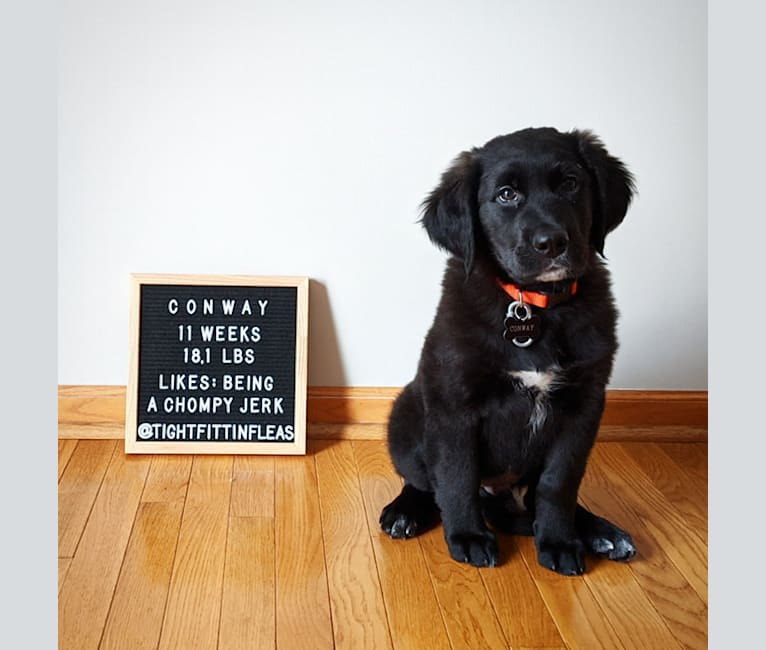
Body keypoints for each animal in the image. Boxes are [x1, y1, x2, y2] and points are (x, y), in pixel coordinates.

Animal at [380, 126, 640, 572]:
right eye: (505, 195)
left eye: (570, 184)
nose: (551, 242)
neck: (532, 305)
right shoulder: (454, 405)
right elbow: (456, 476)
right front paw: (467, 536)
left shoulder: (583, 407)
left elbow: (558, 483)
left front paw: (559, 541)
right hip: (407, 412)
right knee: (425, 481)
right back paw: (405, 511)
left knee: (534, 495)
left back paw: (601, 532)